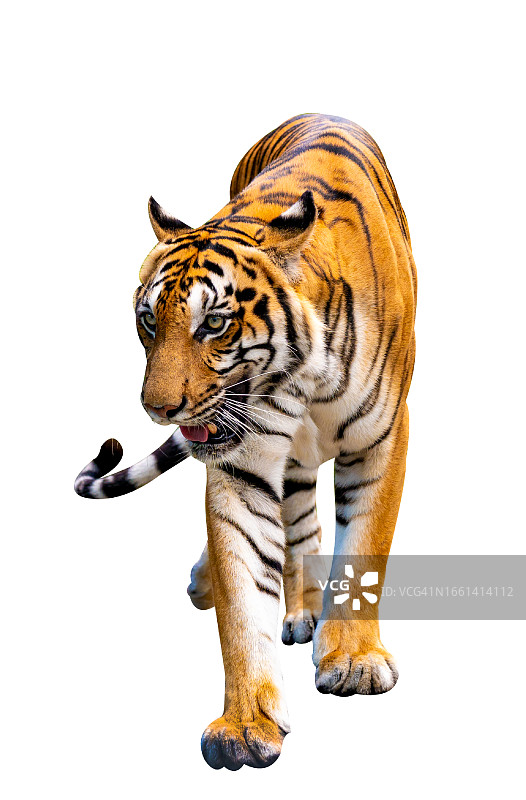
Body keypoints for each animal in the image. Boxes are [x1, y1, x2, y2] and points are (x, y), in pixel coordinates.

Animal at [75, 113, 416, 770]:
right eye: (149, 321)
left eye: (214, 323)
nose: (158, 409)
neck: (302, 375)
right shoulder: (245, 463)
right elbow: (242, 594)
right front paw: (245, 723)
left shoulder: (381, 438)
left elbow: (363, 547)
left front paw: (354, 661)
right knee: (297, 526)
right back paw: (282, 603)